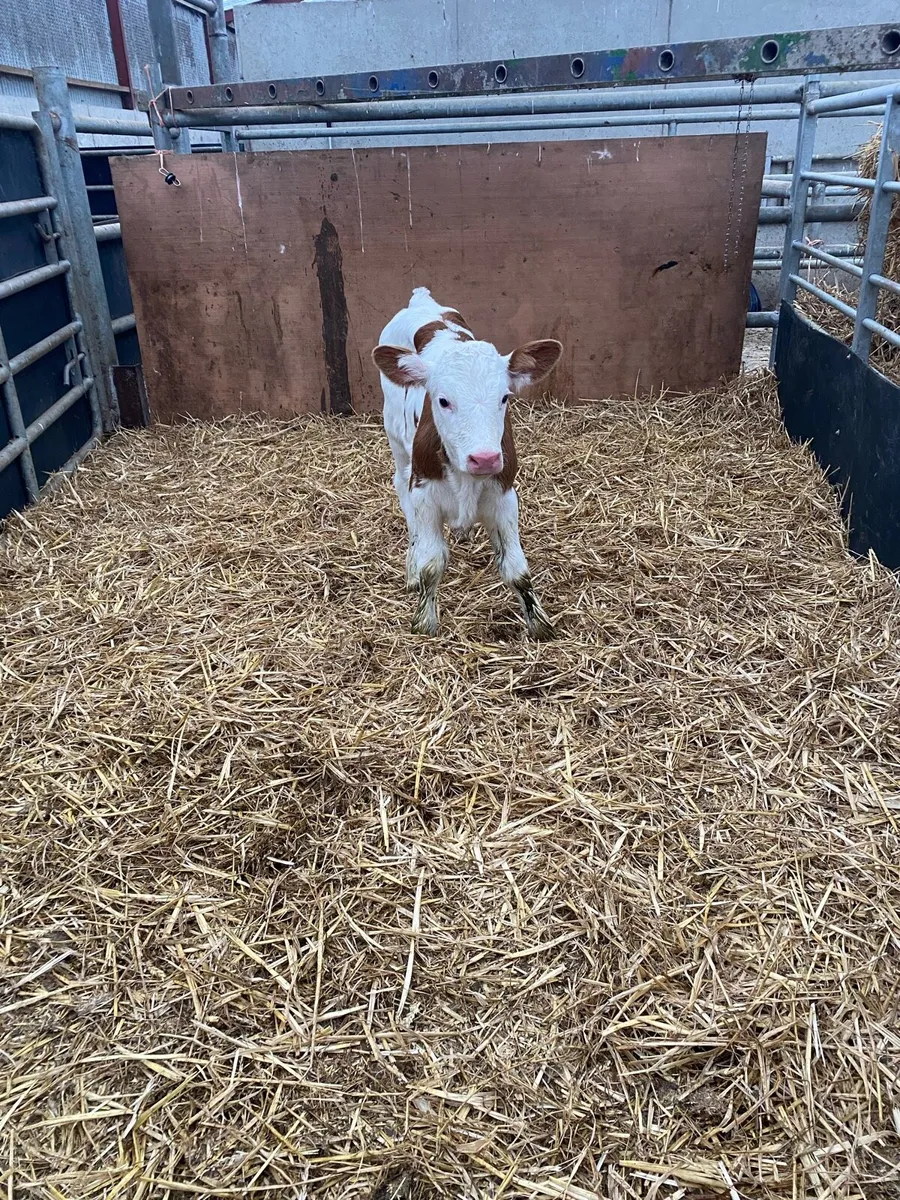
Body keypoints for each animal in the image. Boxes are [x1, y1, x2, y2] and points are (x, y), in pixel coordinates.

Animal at [372, 287, 563, 640]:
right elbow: (431, 563)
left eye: (504, 397)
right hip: (396, 440)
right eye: (443, 400)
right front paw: (424, 622)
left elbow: (517, 570)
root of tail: (422, 300)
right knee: (400, 487)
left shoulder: (504, 496)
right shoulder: (423, 493)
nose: (484, 458)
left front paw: (540, 625)